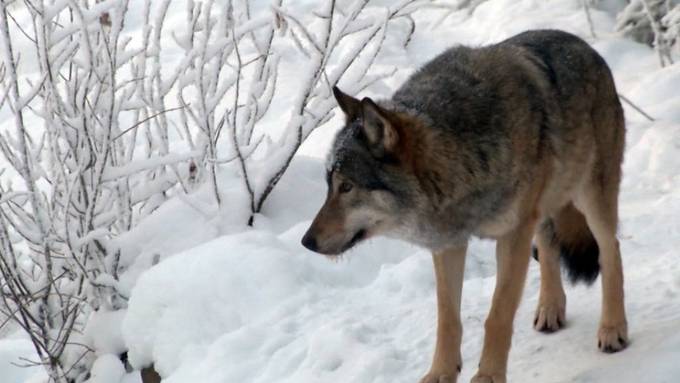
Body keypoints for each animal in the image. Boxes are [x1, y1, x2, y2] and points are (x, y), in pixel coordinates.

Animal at [302, 29, 628, 383]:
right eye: (329, 185)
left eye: (347, 187)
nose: (306, 242)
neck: (461, 156)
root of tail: (585, 46)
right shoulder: (449, 244)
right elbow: (447, 320)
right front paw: (440, 373)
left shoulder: (513, 235)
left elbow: (497, 315)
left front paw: (488, 376)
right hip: (543, 209)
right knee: (548, 246)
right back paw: (550, 309)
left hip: (590, 197)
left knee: (611, 249)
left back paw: (613, 329)